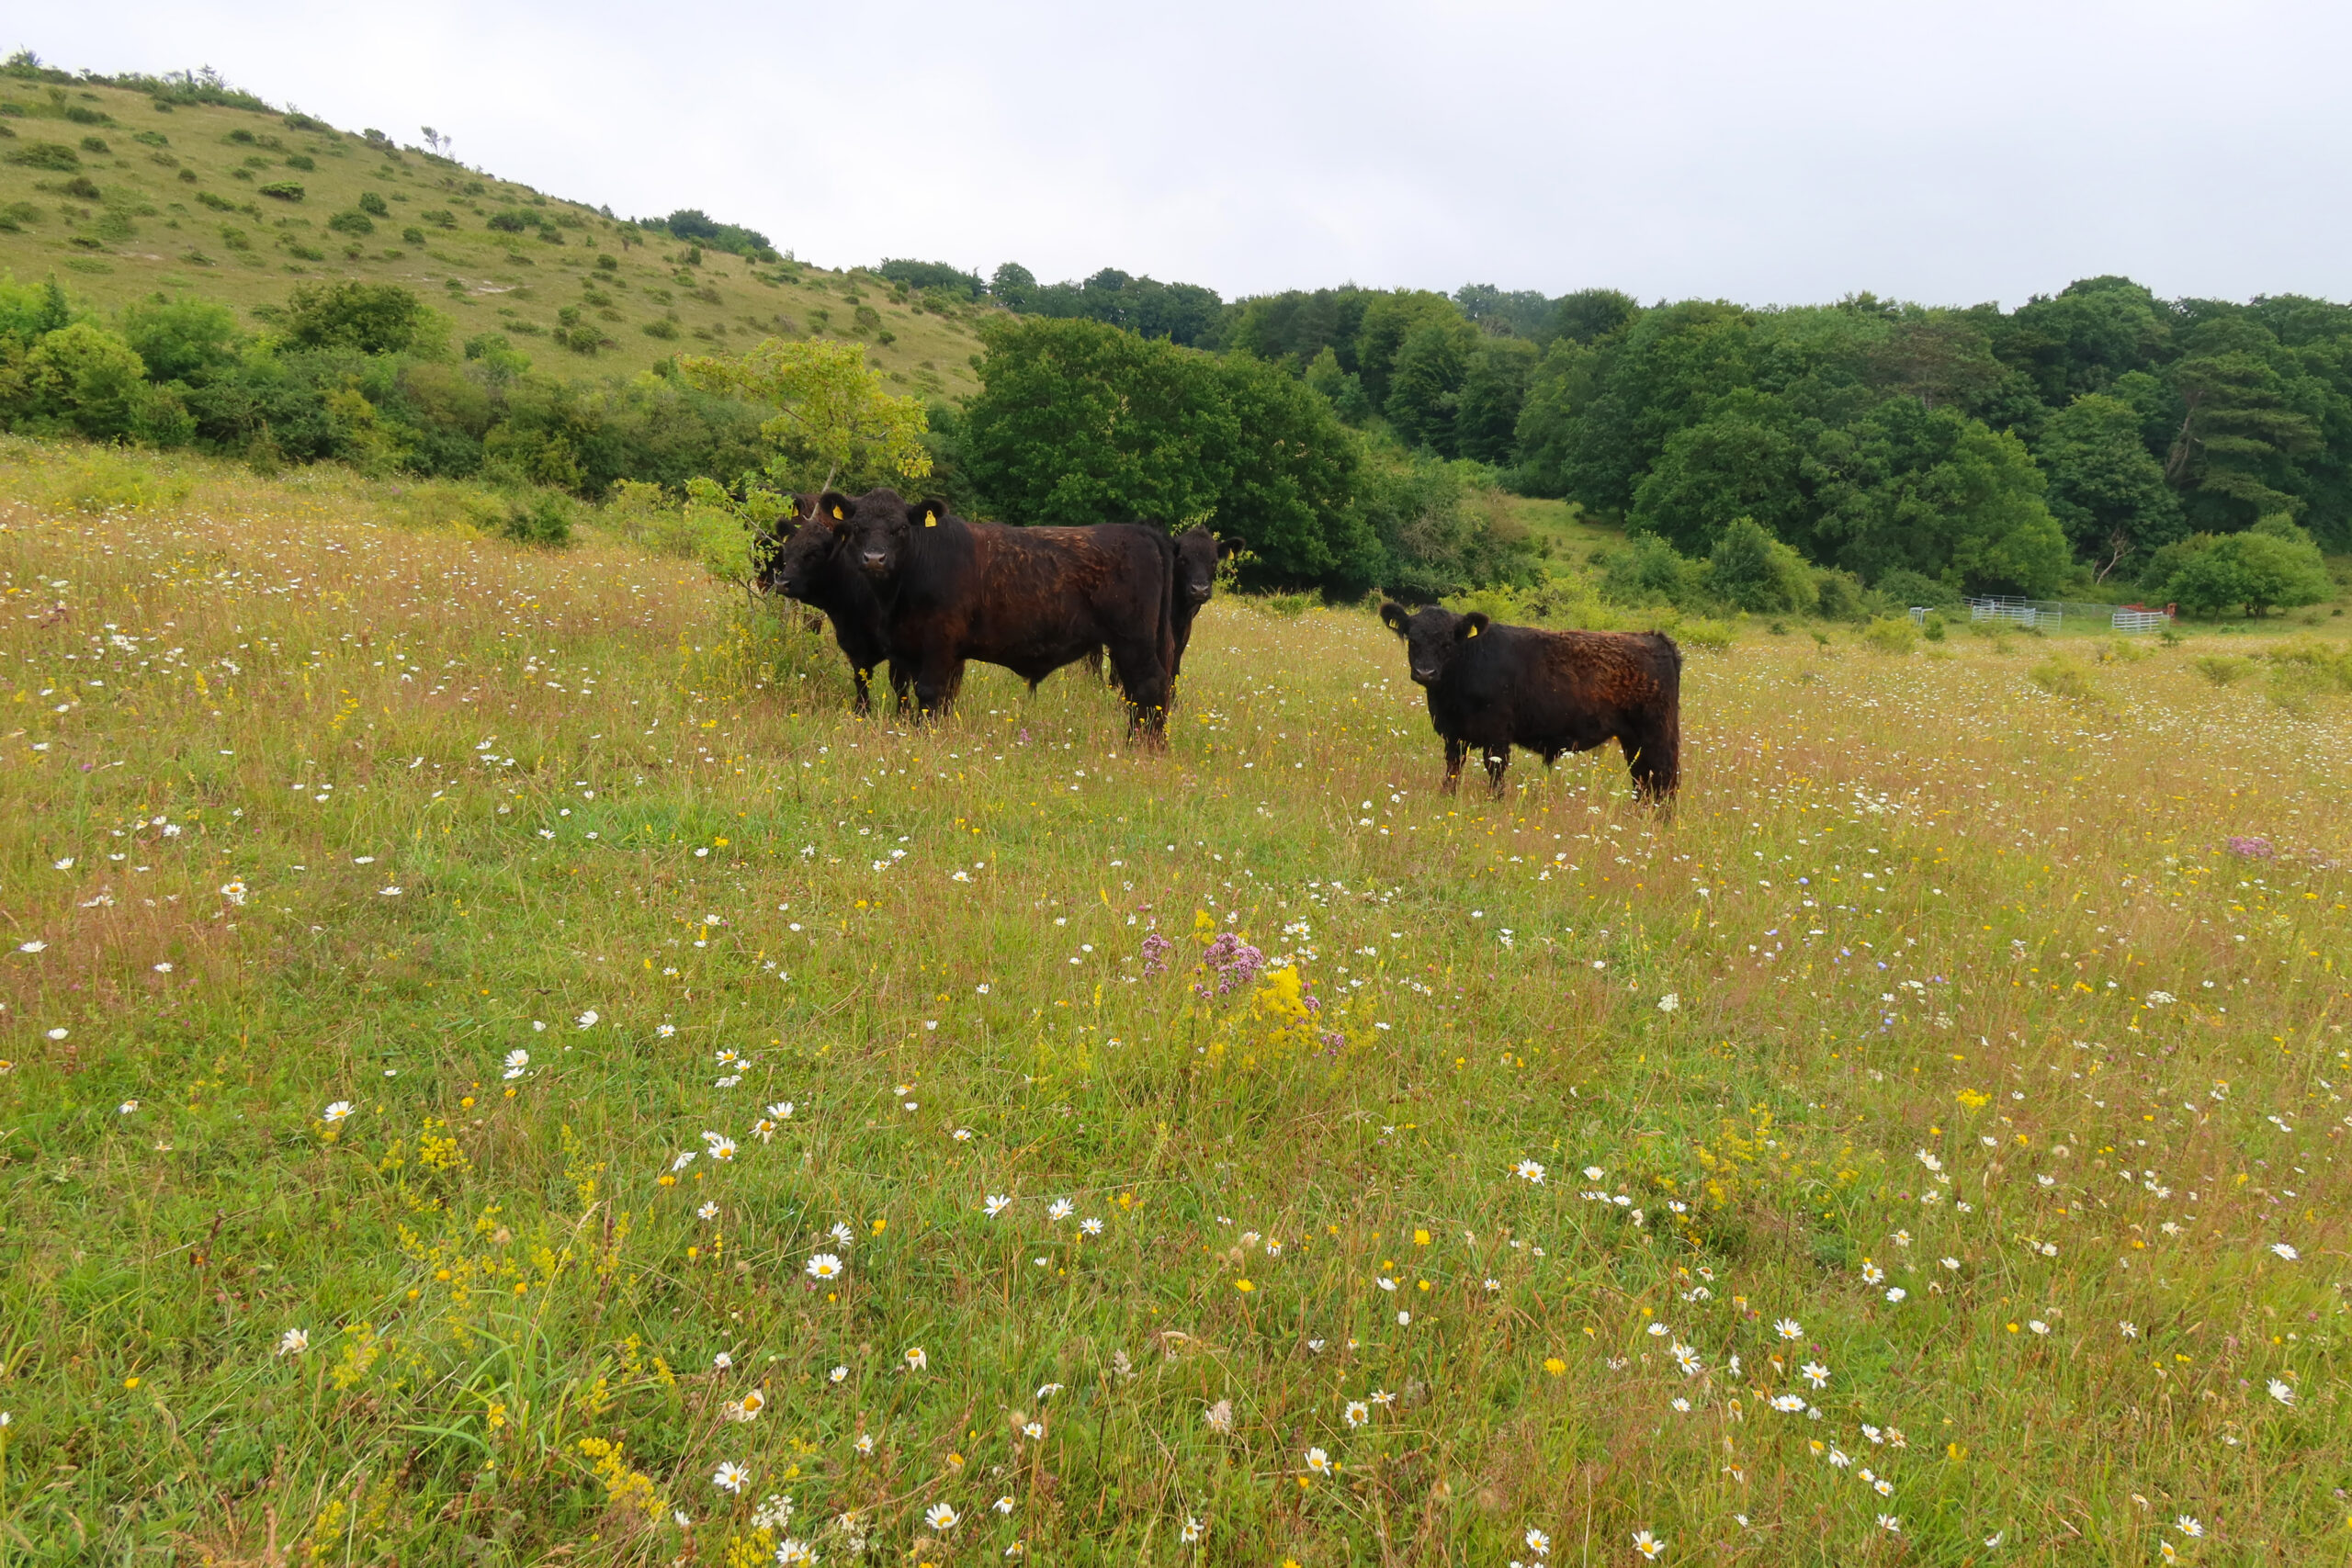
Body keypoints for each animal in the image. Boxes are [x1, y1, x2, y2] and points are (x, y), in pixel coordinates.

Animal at [759, 491, 905, 716]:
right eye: (788, 551)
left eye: (815, 553)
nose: (782, 584)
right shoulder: (854, 644)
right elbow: (861, 680)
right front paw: (861, 712)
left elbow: (900, 684)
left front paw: (905, 717)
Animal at [833, 491, 1177, 742]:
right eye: (858, 527)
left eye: (901, 528)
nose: (874, 558)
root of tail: (1138, 531)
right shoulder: (916, 651)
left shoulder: (939, 645)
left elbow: (930, 694)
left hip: (1134, 641)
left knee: (1149, 686)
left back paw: (1143, 746)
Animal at [1379, 602, 1681, 803]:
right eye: (1412, 639)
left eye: (1447, 643)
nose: (1425, 672)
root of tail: (1654, 638)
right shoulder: (1454, 735)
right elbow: (1453, 768)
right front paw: (1447, 797)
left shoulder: (1497, 735)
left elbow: (1495, 770)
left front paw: (1495, 802)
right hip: (1634, 741)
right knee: (1643, 777)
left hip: (1656, 735)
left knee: (1664, 776)